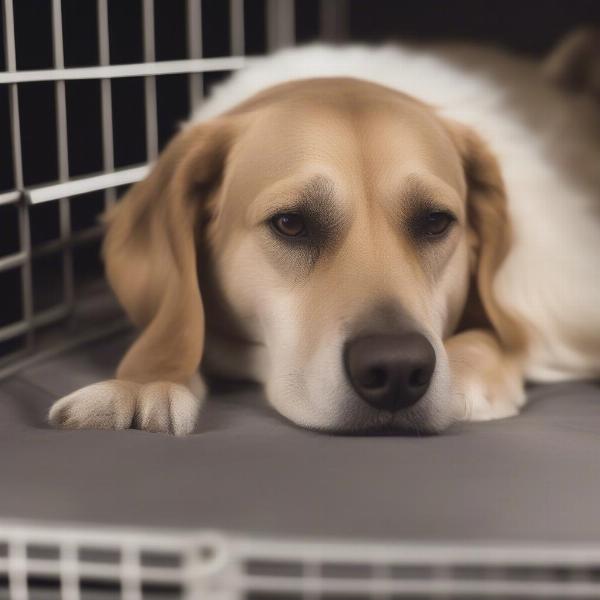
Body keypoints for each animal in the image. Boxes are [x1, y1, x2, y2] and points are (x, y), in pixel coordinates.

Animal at [48, 30, 600, 434]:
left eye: (435, 221)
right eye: (291, 223)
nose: (397, 371)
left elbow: (493, 340)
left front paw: (466, 378)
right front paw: (143, 382)